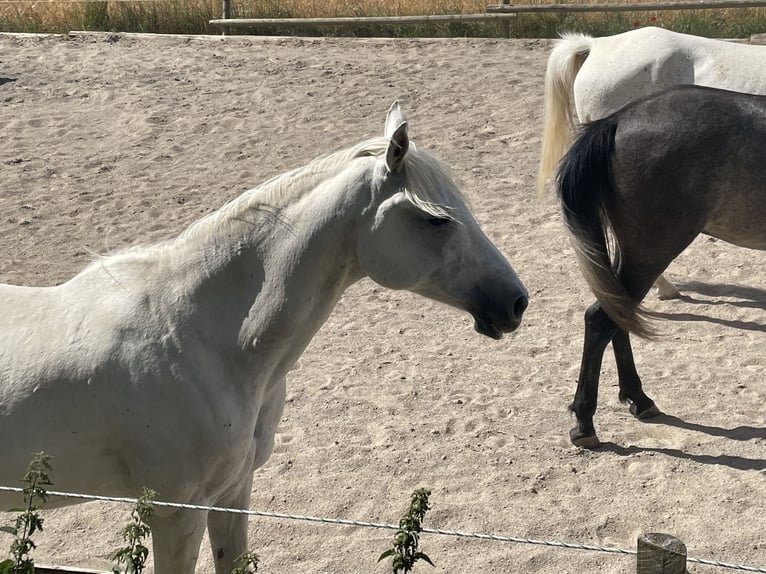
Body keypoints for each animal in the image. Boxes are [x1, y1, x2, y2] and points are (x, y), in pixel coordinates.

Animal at [556, 84, 766, 448]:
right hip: (649, 255)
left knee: (618, 315)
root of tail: (616, 120)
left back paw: (639, 399)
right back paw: (585, 423)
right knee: (601, 320)